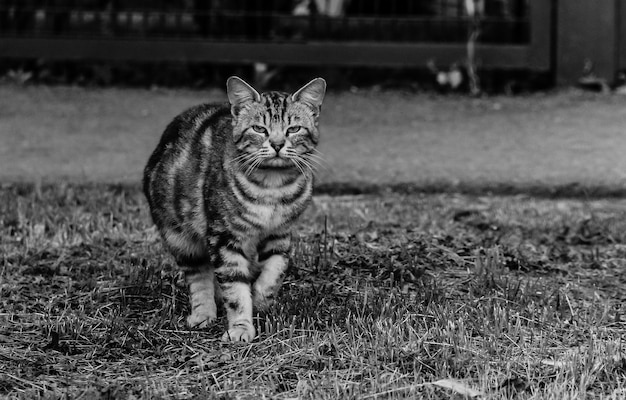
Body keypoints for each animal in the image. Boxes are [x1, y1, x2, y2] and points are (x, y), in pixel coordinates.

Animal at [143, 76, 324, 342]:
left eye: (293, 129)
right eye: (259, 129)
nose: (277, 144)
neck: (272, 186)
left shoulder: (280, 233)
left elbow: (274, 272)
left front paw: (259, 300)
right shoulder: (223, 236)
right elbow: (235, 289)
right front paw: (241, 327)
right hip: (180, 236)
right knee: (200, 275)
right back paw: (203, 314)